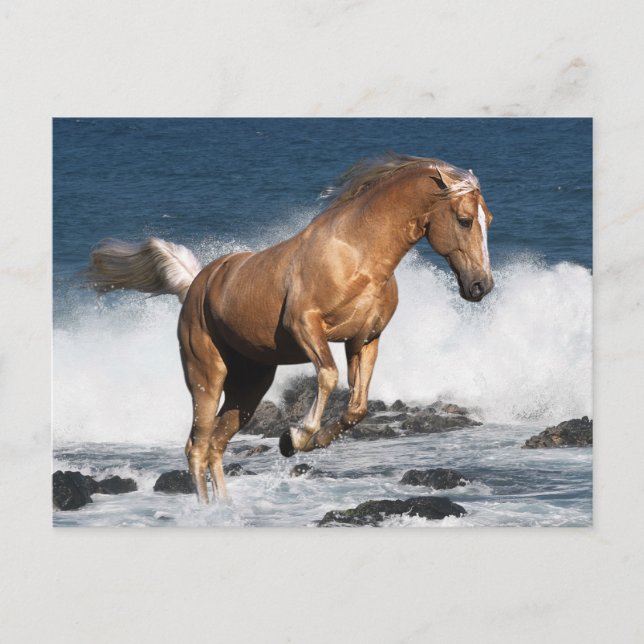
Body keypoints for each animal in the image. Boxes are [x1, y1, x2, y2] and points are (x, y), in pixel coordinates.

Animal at [87, 153, 494, 503]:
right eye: (464, 219)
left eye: (488, 219)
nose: (481, 286)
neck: (357, 255)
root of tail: (196, 285)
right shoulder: (305, 326)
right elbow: (328, 376)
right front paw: (296, 437)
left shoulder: (364, 339)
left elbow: (357, 407)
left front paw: (303, 440)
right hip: (206, 375)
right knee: (197, 446)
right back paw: (206, 510)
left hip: (249, 387)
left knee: (216, 444)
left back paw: (226, 508)